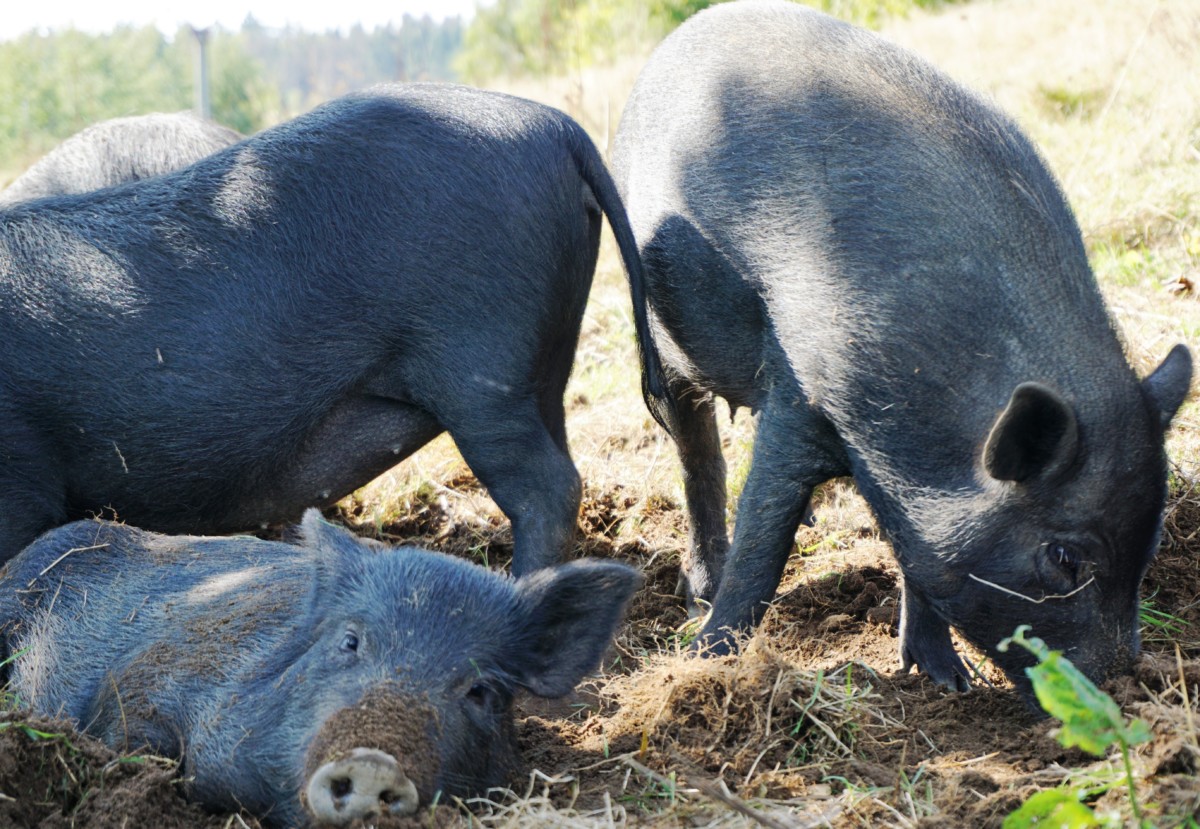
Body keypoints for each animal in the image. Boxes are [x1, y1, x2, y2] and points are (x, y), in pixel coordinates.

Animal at [609, 0, 1190, 695]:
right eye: (1063, 556)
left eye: (1151, 543)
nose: (1118, 686)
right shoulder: (802, 393)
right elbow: (763, 542)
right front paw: (705, 662)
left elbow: (916, 554)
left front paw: (949, 683)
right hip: (656, 333)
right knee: (697, 455)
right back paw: (701, 591)